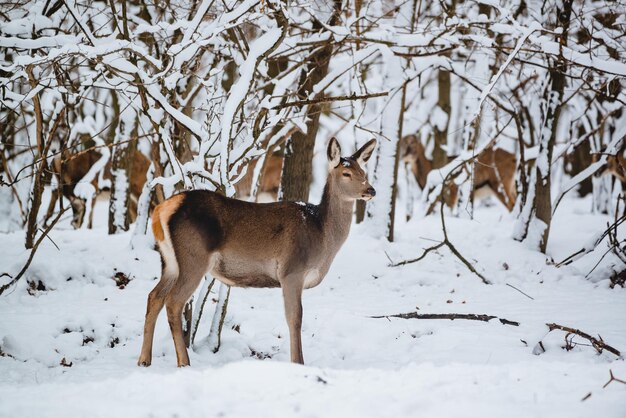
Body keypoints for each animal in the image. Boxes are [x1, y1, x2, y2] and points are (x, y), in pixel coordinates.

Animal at [140, 137, 376, 366]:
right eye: (346, 173)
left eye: (364, 172)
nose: (370, 190)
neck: (321, 234)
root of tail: (161, 209)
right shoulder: (292, 271)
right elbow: (295, 317)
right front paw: (298, 362)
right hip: (194, 257)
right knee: (173, 301)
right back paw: (183, 362)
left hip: (170, 261)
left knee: (154, 296)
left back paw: (144, 359)